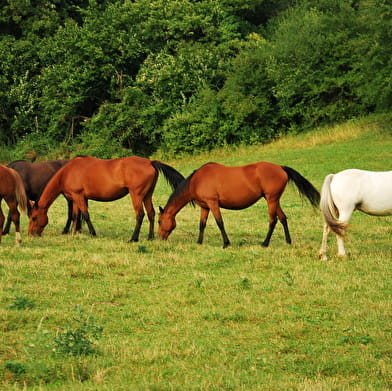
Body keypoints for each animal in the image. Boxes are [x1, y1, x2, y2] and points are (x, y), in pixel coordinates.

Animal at [29, 156, 185, 242]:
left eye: (34, 218)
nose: (31, 234)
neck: (68, 172)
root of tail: (150, 162)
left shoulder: (78, 196)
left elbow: (85, 215)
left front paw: (92, 233)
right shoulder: (75, 197)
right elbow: (75, 216)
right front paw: (73, 233)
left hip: (136, 195)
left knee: (140, 214)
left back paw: (133, 238)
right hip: (147, 195)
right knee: (151, 213)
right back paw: (150, 237)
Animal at [158, 162, 320, 248]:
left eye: (159, 221)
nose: (160, 238)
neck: (196, 181)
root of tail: (280, 167)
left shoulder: (213, 203)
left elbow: (220, 223)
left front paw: (226, 243)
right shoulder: (205, 206)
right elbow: (202, 224)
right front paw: (199, 242)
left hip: (271, 200)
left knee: (273, 220)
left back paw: (265, 243)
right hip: (274, 200)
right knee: (283, 218)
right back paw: (288, 241)